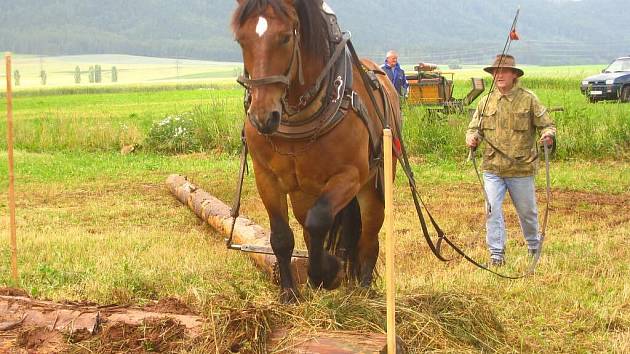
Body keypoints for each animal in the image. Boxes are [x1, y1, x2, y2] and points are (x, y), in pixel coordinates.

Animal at [233, 0, 404, 304]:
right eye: (241, 39)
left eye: (285, 37)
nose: (262, 117)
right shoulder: (266, 177)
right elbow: (282, 236)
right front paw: (290, 292)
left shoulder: (349, 175)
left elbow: (319, 220)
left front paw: (329, 272)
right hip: (303, 192)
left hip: (373, 186)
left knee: (368, 237)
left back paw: (363, 286)